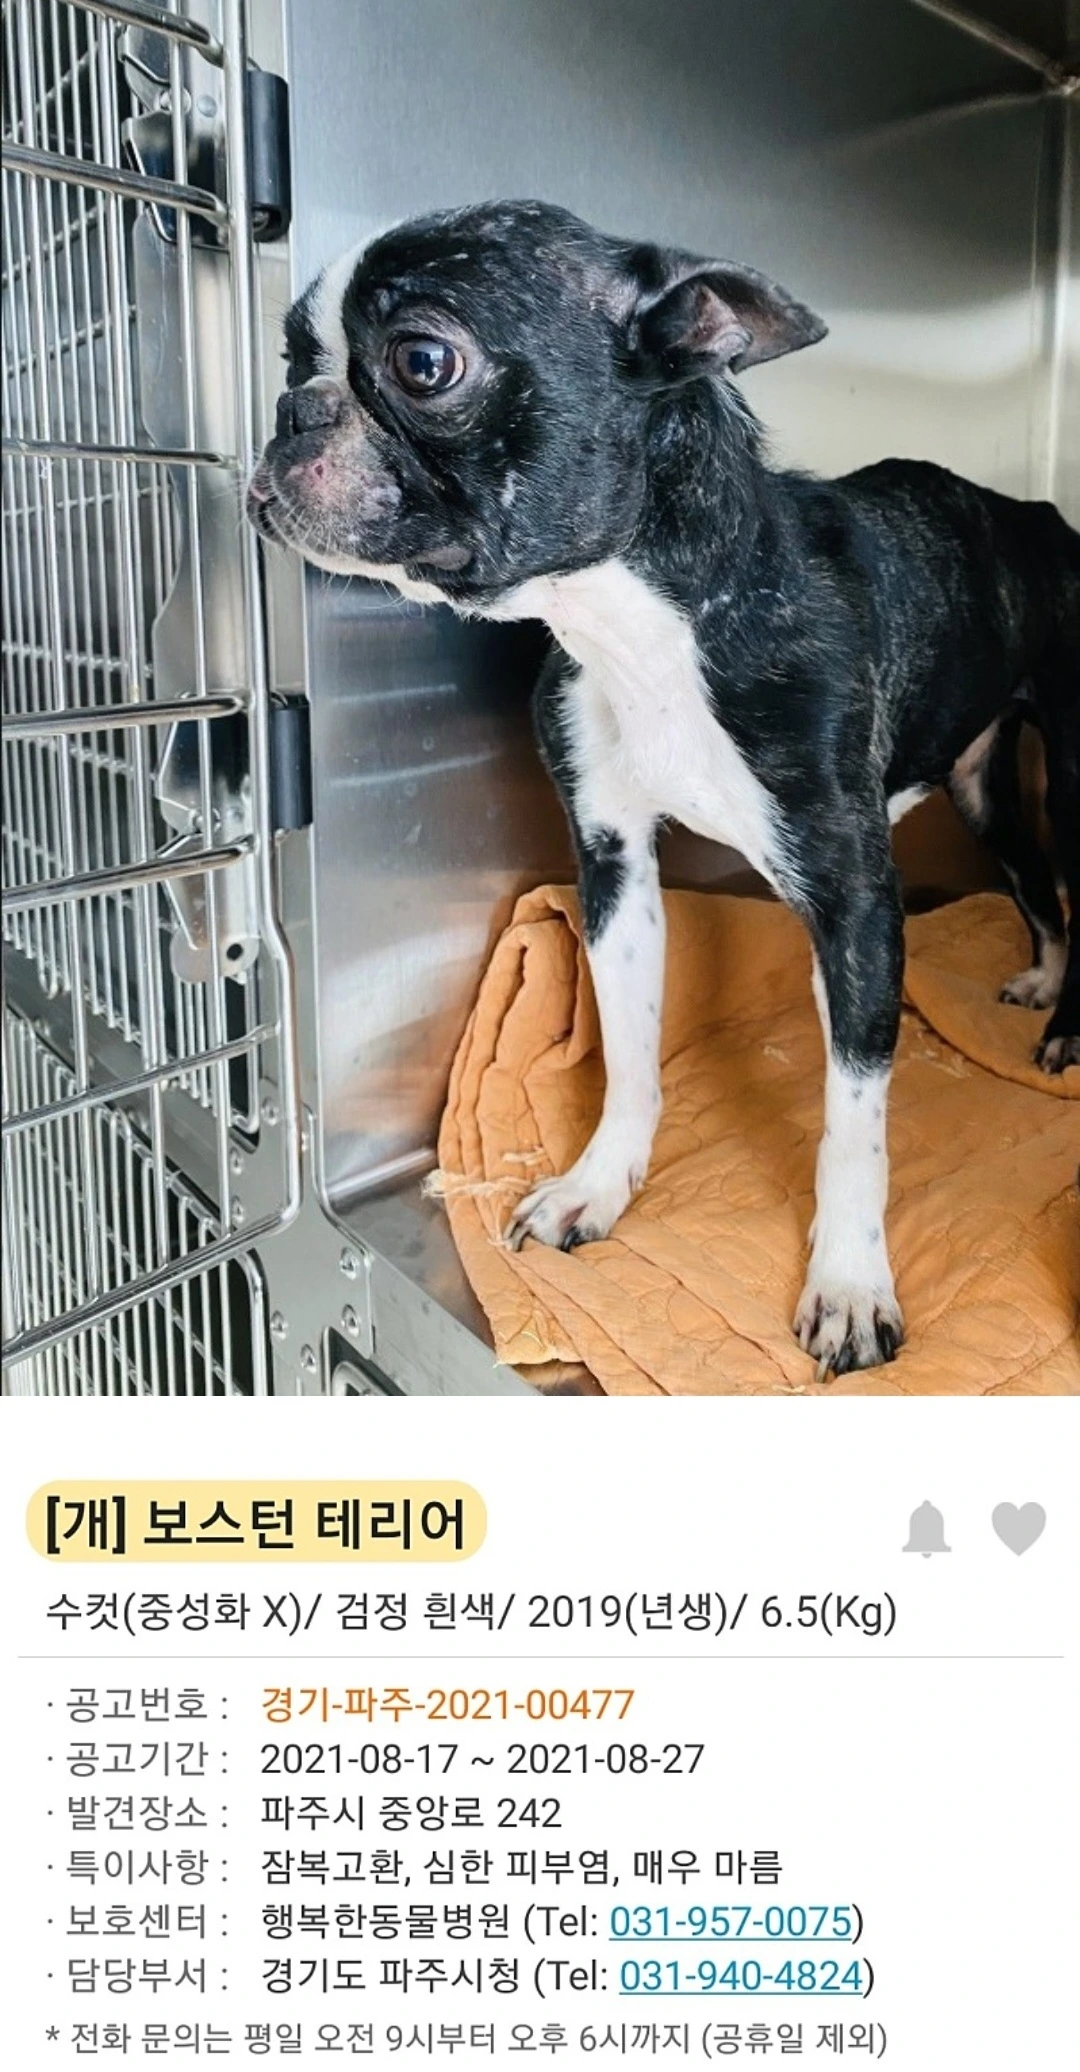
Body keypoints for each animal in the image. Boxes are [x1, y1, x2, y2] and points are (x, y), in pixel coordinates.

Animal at [248, 200, 1080, 1376]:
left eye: (422, 361)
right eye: (292, 356)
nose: (290, 408)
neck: (644, 624)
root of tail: (1035, 510)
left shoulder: (855, 899)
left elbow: (855, 1120)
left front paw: (849, 1283)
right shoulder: (616, 869)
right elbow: (631, 1050)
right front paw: (599, 1186)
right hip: (982, 793)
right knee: (1037, 887)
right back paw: (1045, 981)